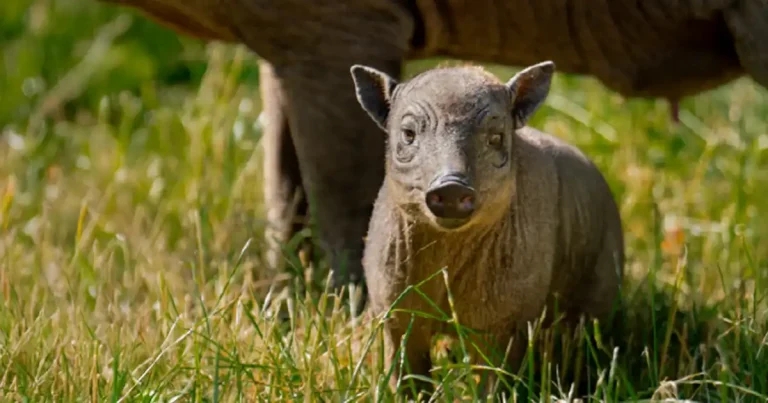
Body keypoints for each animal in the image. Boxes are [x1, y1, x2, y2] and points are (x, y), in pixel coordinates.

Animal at [350, 60, 625, 398]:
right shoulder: (394, 311)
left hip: (598, 289)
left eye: (496, 137)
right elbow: (407, 375)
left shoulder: (507, 319)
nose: (451, 187)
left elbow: (496, 378)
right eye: (409, 134)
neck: (446, 254)